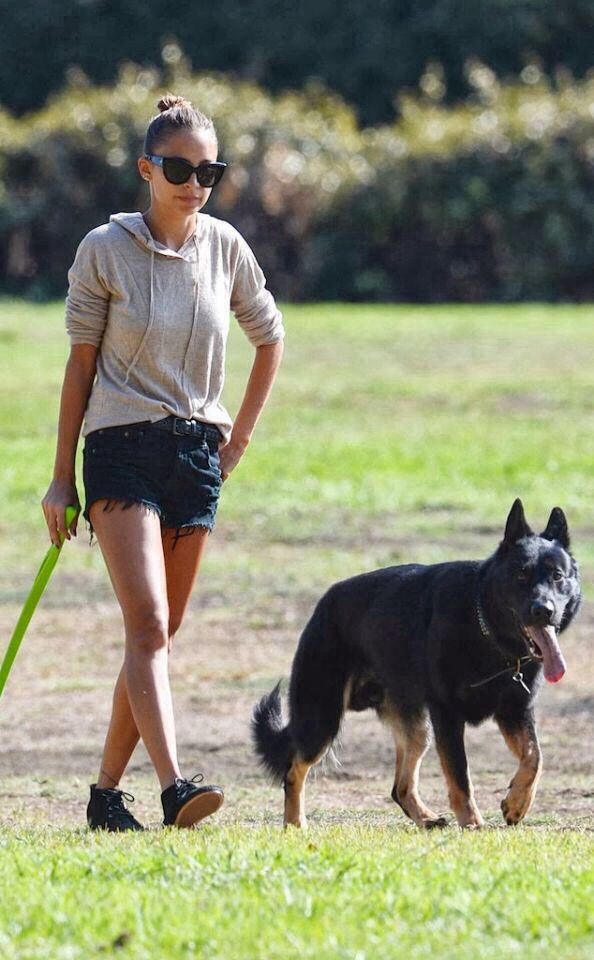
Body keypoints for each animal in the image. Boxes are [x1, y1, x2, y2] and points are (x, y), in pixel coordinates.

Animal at [251, 498, 580, 828]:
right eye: (521, 575)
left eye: (557, 576)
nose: (543, 610)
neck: (486, 630)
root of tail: (323, 604)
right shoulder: (448, 715)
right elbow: (460, 776)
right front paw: (473, 823)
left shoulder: (515, 711)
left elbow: (534, 756)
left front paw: (517, 803)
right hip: (321, 719)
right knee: (293, 769)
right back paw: (295, 823)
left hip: (418, 729)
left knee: (400, 787)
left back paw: (426, 819)